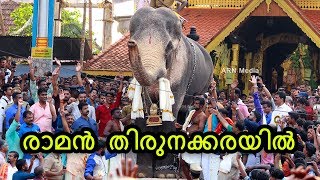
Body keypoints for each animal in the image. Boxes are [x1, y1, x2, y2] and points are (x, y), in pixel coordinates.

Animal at [127, 6, 212, 177]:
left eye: (169, 48)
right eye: (133, 39)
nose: (131, 43)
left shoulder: (181, 73)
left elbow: (171, 109)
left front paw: (165, 174)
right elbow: (144, 110)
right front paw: (142, 173)